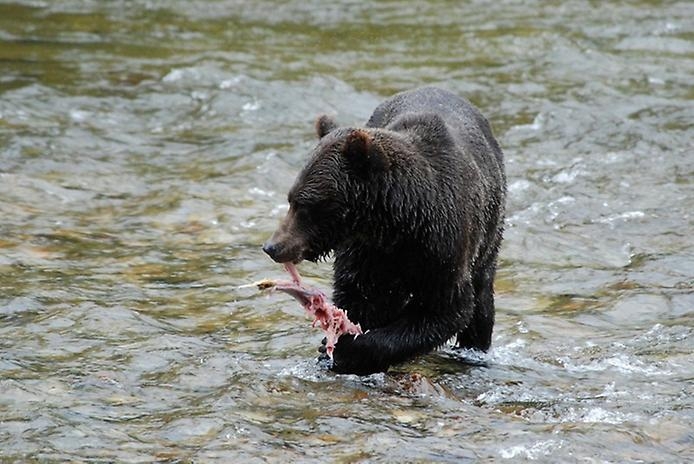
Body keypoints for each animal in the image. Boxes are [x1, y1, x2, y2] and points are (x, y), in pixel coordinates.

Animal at [264, 86, 508, 376]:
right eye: (291, 198)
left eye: (305, 204)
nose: (272, 246)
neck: (397, 224)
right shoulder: (366, 253)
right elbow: (359, 298)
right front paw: (334, 346)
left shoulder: (443, 247)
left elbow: (445, 309)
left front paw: (351, 349)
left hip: (489, 234)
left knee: (482, 302)